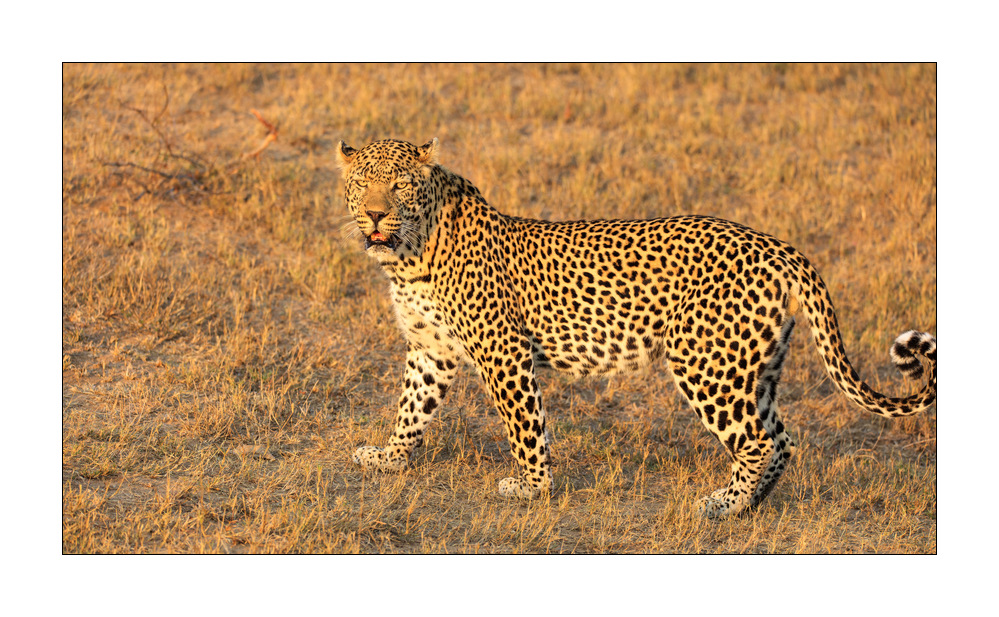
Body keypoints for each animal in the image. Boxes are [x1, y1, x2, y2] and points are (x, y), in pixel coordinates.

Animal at [338, 137, 936, 519]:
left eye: (398, 186)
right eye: (363, 184)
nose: (374, 215)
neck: (408, 255)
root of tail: (777, 246)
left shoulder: (502, 351)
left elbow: (524, 428)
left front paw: (532, 489)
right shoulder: (429, 349)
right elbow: (411, 408)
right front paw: (389, 458)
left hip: (705, 364)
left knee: (759, 442)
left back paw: (721, 506)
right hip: (752, 366)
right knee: (782, 438)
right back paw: (749, 506)